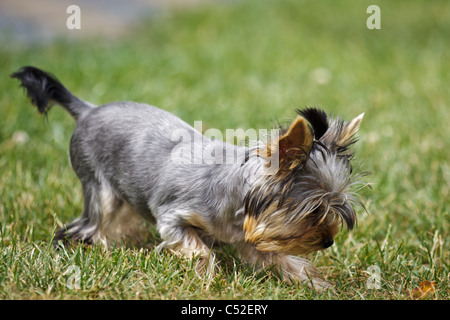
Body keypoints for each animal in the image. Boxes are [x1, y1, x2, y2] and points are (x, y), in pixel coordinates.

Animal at [12, 66, 368, 288]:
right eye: (314, 211)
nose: (328, 241)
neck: (236, 201)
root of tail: (87, 109)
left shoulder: (252, 238)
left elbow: (281, 259)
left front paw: (316, 284)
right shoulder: (173, 218)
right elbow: (199, 250)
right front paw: (210, 279)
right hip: (99, 188)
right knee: (91, 223)